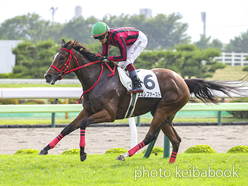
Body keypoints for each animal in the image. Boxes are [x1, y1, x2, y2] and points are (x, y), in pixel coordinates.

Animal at [40, 39, 244, 163]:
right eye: (55, 56)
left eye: (62, 57)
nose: (47, 76)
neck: (99, 79)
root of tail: (183, 81)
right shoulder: (88, 110)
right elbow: (68, 128)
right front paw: (45, 149)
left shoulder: (109, 114)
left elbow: (83, 124)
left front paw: (82, 153)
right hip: (165, 115)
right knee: (176, 139)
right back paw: (170, 164)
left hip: (163, 110)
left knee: (150, 136)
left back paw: (124, 155)